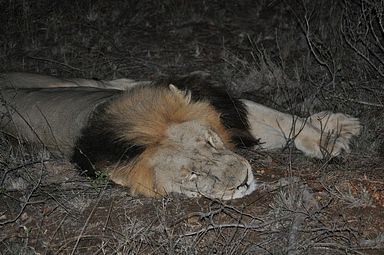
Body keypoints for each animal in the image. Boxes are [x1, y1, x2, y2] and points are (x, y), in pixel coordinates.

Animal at [0, 72, 362, 200]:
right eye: (192, 175)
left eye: (210, 141)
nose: (244, 181)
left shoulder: (220, 111)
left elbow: (281, 119)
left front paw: (327, 139)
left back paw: (338, 121)